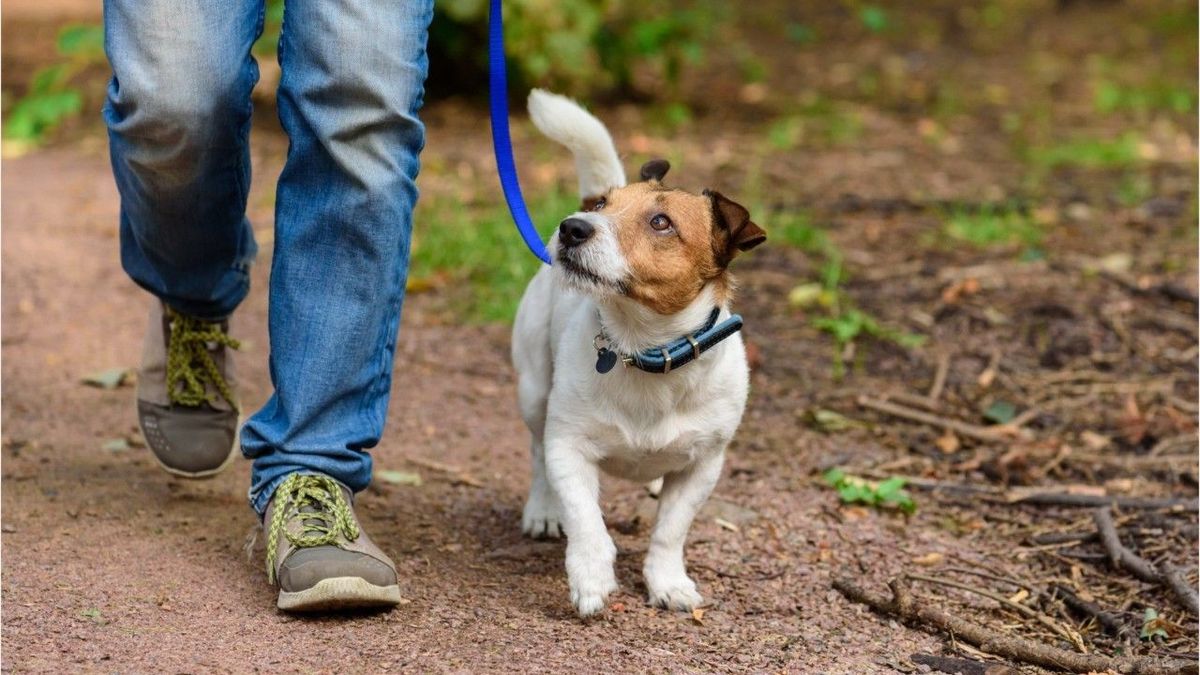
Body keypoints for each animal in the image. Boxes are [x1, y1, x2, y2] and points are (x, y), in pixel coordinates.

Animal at [511, 89, 763, 614]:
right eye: (604, 205)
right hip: (533, 390)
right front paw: (591, 577)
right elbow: (586, 520)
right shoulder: (568, 447)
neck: (643, 349)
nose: (572, 227)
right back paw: (543, 509)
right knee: (537, 454)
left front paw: (668, 582)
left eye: (661, 222)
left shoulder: (704, 467)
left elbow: (670, 531)